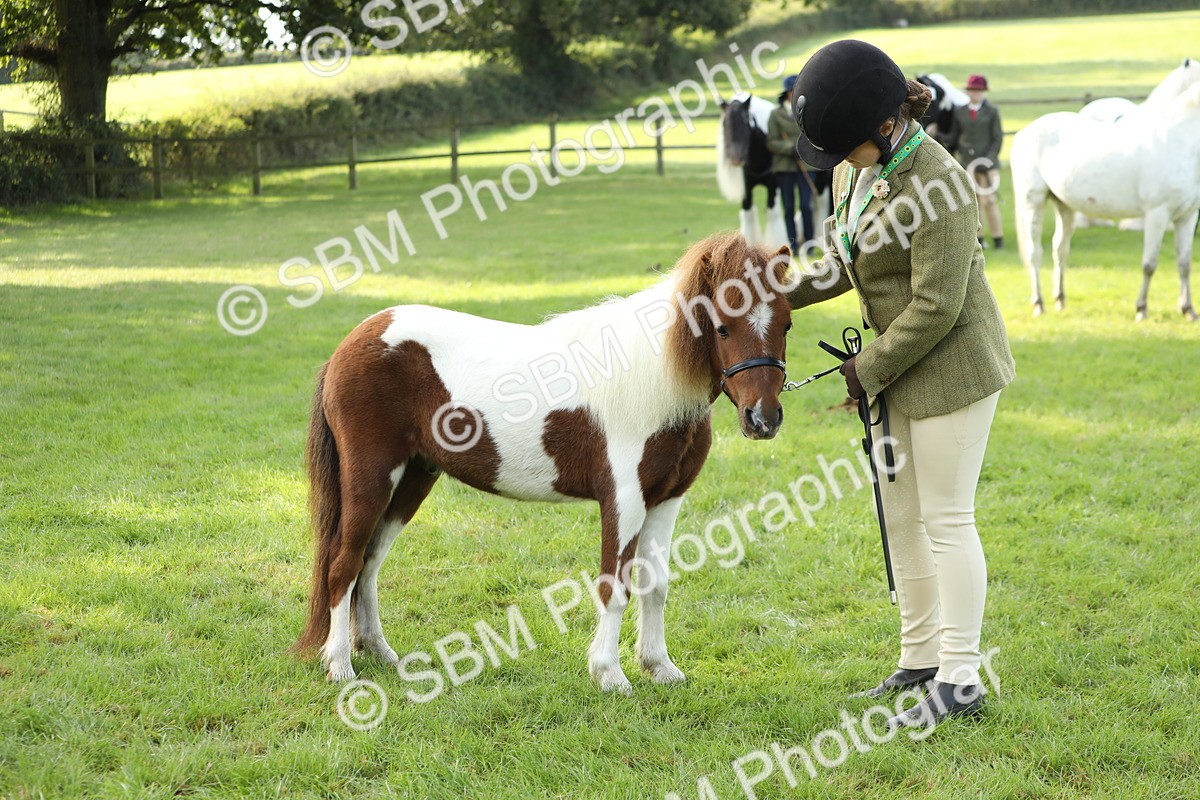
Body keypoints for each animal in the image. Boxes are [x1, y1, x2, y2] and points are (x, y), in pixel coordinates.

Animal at [294, 232, 796, 694]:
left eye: (787, 324)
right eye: (723, 327)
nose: (763, 419)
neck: (653, 384)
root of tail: (351, 343)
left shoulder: (667, 500)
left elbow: (656, 584)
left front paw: (660, 668)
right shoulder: (624, 501)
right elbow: (614, 586)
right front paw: (610, 675)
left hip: (414, 478)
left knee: (370, 561)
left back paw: (380, 652)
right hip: (372, 477)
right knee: (344, 563)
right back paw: (341, 666)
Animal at [717, 93, 787, 249]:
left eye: (745, 122)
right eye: (724, 123)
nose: (736, 158)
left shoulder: (773, 185)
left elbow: (773, 213)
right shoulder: (746, 188)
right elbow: (748, 215)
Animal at [1011, 83, 1200, 321]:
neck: (1178, 141)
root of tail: (1023, 133)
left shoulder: (1187, 217)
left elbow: (1184, 264)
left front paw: (1188, 310)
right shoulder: (1157, 215)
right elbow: (1149, 264)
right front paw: (1141, 309)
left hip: (1064, 206)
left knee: (1060, 249)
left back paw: (1060, 299)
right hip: (1033, 201)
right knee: (1034, 252)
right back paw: (1039, 303)